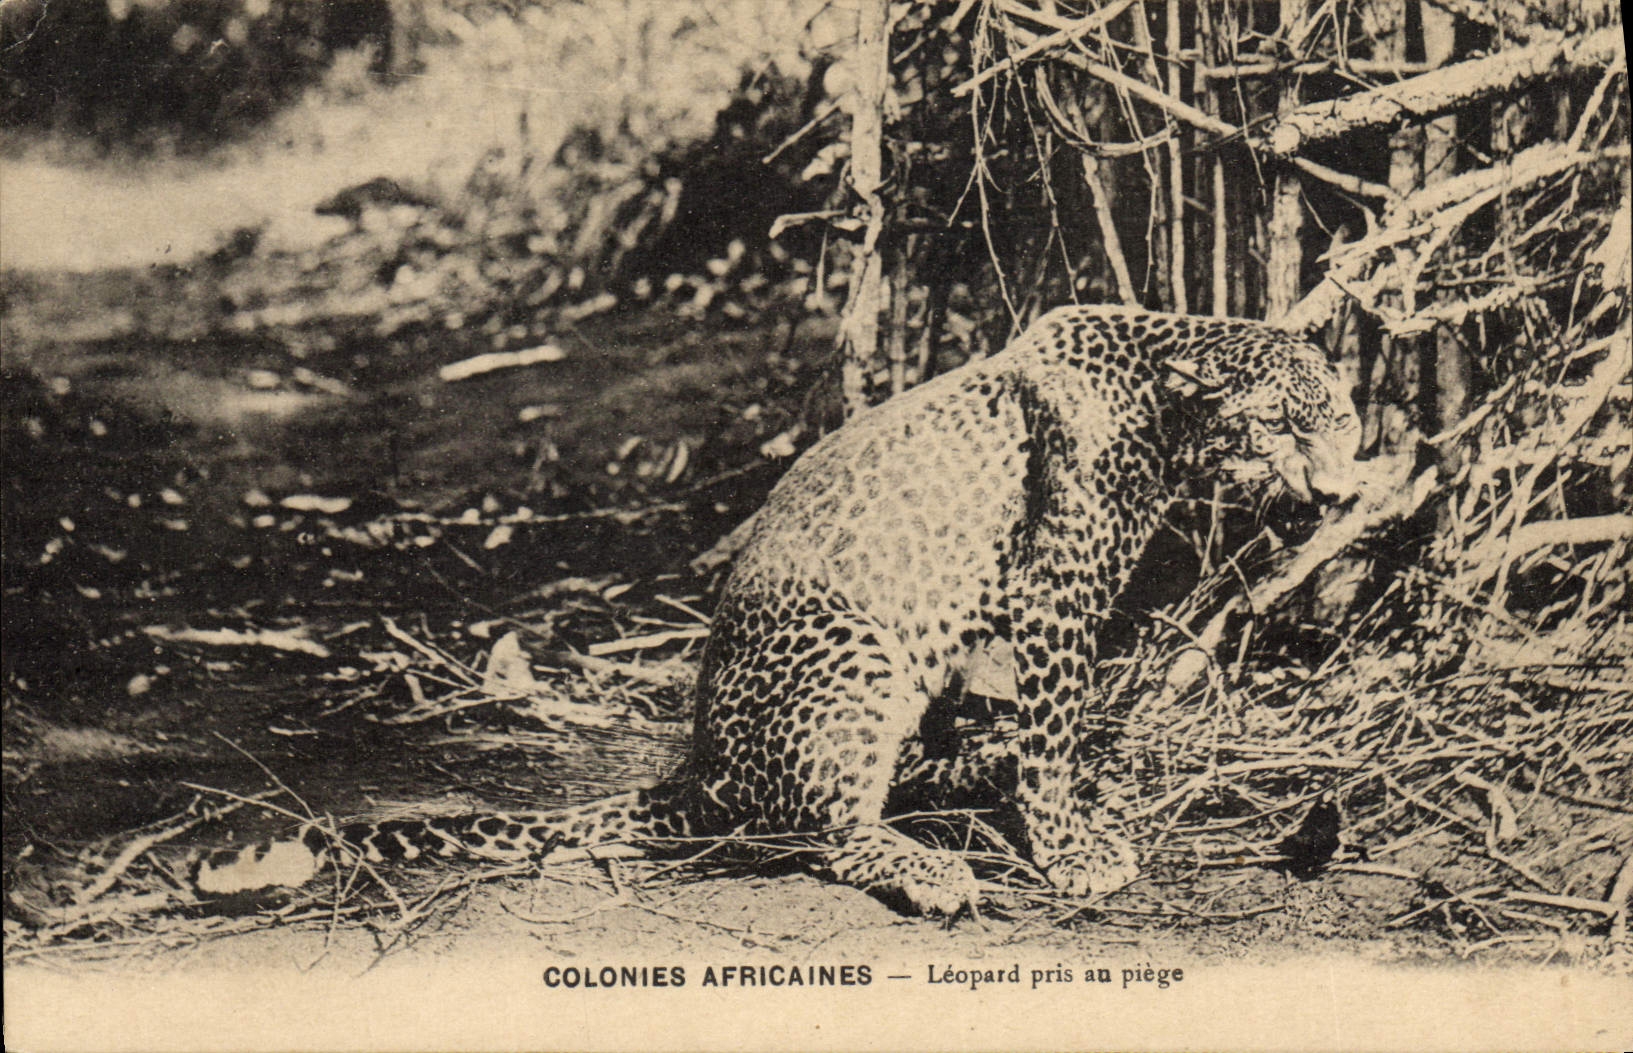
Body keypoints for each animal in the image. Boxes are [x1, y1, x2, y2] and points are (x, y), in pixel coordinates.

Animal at [195, 305, 1363, 916]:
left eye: (1344, 419)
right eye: (1282, 423)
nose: (1339, 491)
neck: (1162, 406)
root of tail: (699, 767)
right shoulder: (1053, 600)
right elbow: (1050, 739)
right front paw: (1069, 849)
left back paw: (945, 788)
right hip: (856, 652)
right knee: (824, 828)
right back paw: (928, 868)